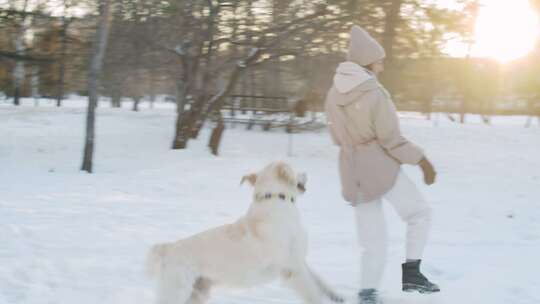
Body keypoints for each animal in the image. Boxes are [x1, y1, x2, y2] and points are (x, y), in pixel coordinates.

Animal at [146, 162, 344, 304]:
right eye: (295, 171)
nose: (306, 173)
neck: (277, 201)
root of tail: (167, 248)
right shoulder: (292, 269)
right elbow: (312, 293)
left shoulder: (299, 261)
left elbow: (318, 279)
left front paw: (335, 294)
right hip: (177, 292)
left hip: (196, 295)